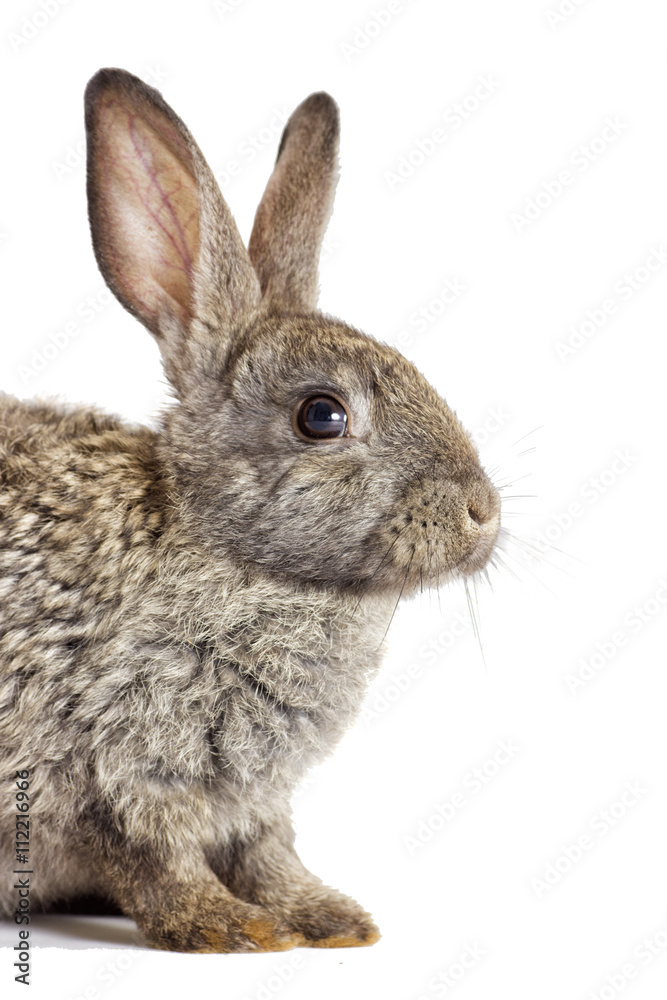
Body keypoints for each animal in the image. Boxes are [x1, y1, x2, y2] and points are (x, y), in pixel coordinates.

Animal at [0, 70, 500, 952]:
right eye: (322, 416)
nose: (483, 510)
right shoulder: (114, 766)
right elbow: (156, 859)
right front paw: (232, 930)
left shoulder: (253, 800)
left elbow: (270, 853)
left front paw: (332, 920)